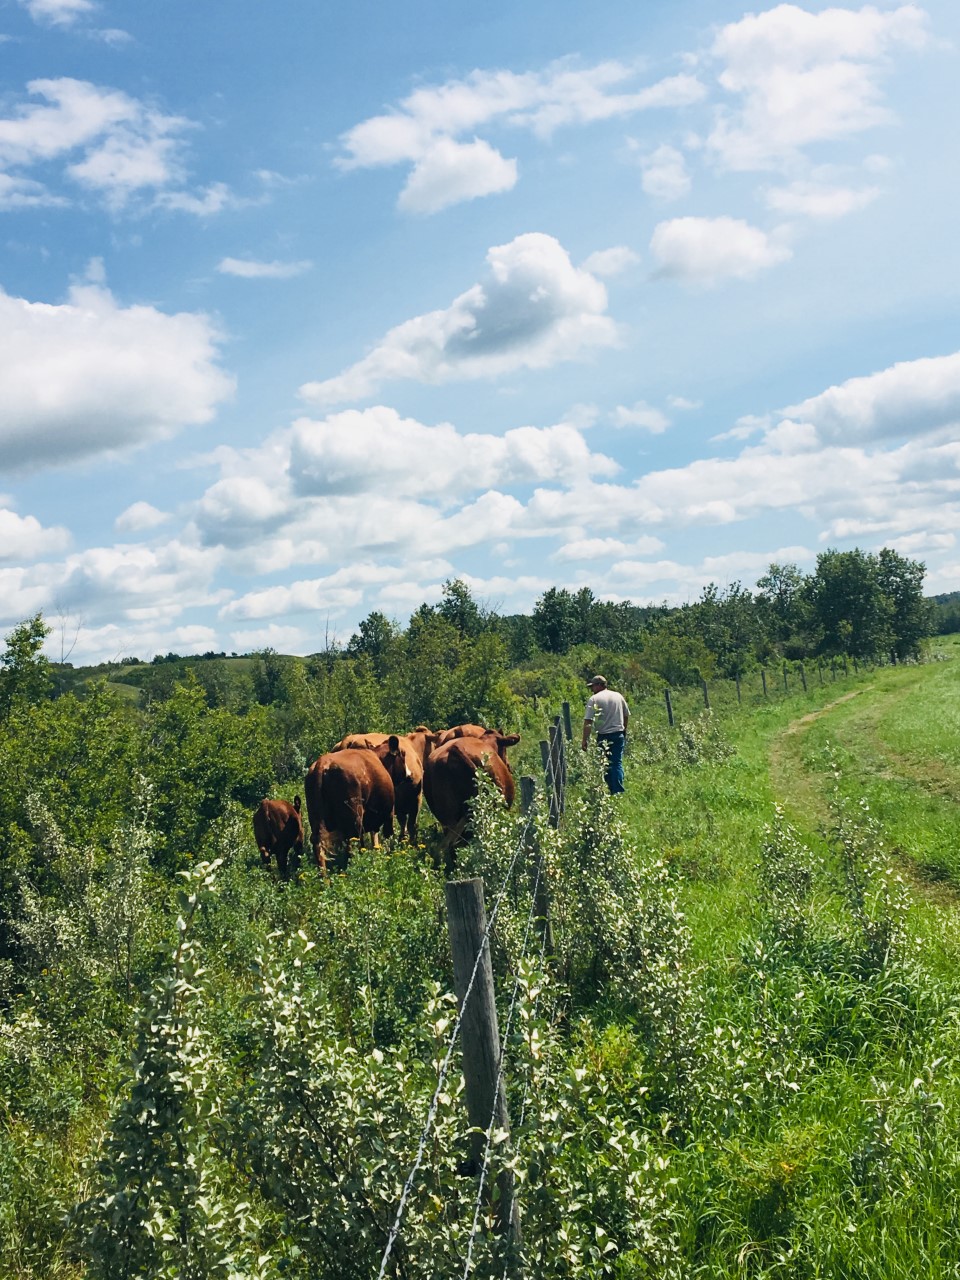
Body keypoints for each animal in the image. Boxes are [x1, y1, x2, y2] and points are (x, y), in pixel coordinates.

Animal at [305, 747, 407, 875]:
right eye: (403, 755)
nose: (407, 774)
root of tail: (322, 764)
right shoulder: (389, 813)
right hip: (354, 821)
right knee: (351, 847)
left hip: (316, 820)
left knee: (319, 846)